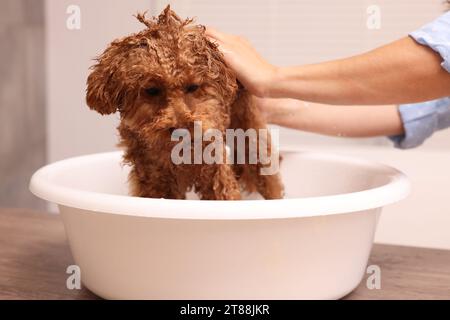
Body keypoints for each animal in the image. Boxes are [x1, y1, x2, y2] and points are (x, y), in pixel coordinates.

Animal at [86, 5, 284, 200]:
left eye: (193, 86)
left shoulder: (214, 171)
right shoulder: (155, 180)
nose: (181, 129)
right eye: (152, 90)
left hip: (249, 131)